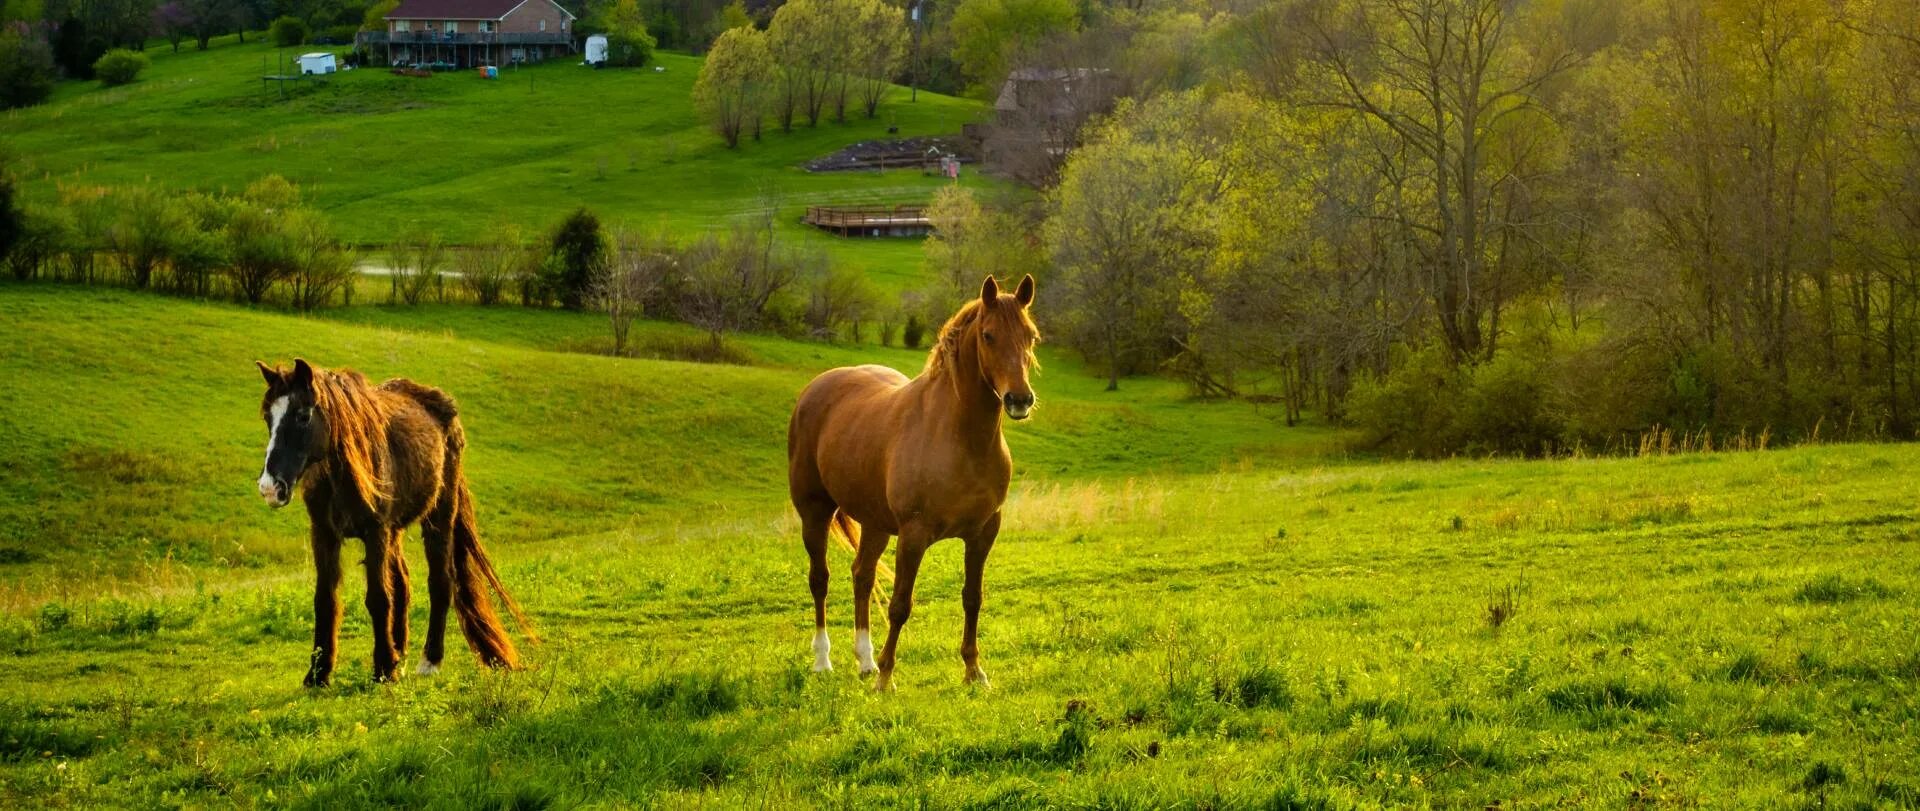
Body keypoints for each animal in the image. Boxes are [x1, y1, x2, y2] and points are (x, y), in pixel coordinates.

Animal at [255, 361, 537, 684]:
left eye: (303, 416)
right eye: (268, 417)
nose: (270, 488)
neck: (343, 472)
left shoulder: (375, 531)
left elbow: (378, 598)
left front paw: (382, 669)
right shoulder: (324, 534)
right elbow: (325, 600)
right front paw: (318, 674)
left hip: (438, 515)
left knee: (441, 581)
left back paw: (430, 660)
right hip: (396, 530)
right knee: (402, 582)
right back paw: (399, 652)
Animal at [787, 274, 1044, 688]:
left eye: (1030, 336)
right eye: (988, 335)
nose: (1019, 399)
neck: (957, 437)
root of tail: (816, 389)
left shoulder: (983, 533)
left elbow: (972, 597)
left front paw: (974, 671)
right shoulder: (913, 534)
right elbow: (899, 605)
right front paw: (887, 679)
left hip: (875, 524)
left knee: (861, 576)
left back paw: (865, 662)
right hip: (815, 513)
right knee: (820, 580)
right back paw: (824, 661)